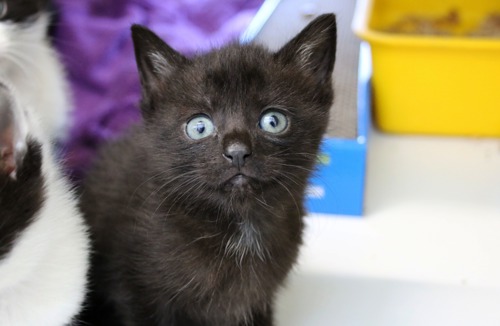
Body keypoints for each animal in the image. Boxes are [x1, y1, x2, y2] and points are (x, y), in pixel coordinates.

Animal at [80, 13, 336, 326]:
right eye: (199, 127)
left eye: (273, 121)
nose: (237, 151)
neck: (241, 229)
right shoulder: (139, 297)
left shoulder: (258, 301)